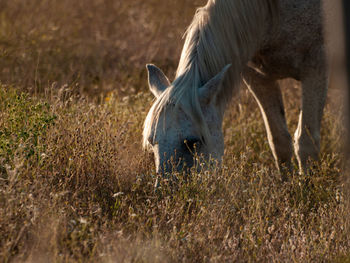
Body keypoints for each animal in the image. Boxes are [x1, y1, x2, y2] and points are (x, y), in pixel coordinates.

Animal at [142, 0, 328, 177]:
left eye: (193, 142)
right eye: (152, 141)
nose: (167, 186)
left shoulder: (315, 70)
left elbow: (306, 143)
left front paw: (306, 187)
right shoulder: (259, 77)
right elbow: (279, 141)